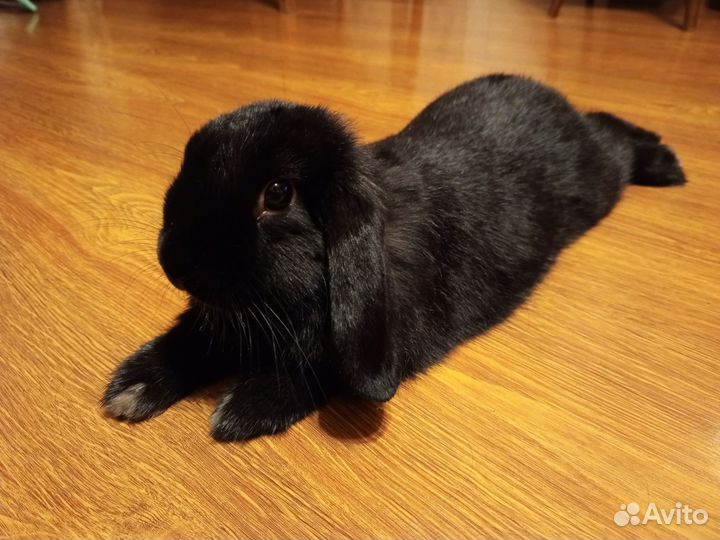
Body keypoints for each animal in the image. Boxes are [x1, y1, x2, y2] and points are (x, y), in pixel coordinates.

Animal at [103, 74, 685, 441]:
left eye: (278, 194)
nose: (172, 260)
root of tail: (549, 96)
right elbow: (195, 341)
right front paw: (132, 388)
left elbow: (325, 370)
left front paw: (243, 410)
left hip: (599, 179)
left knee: (614, 136)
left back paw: (667, 163)